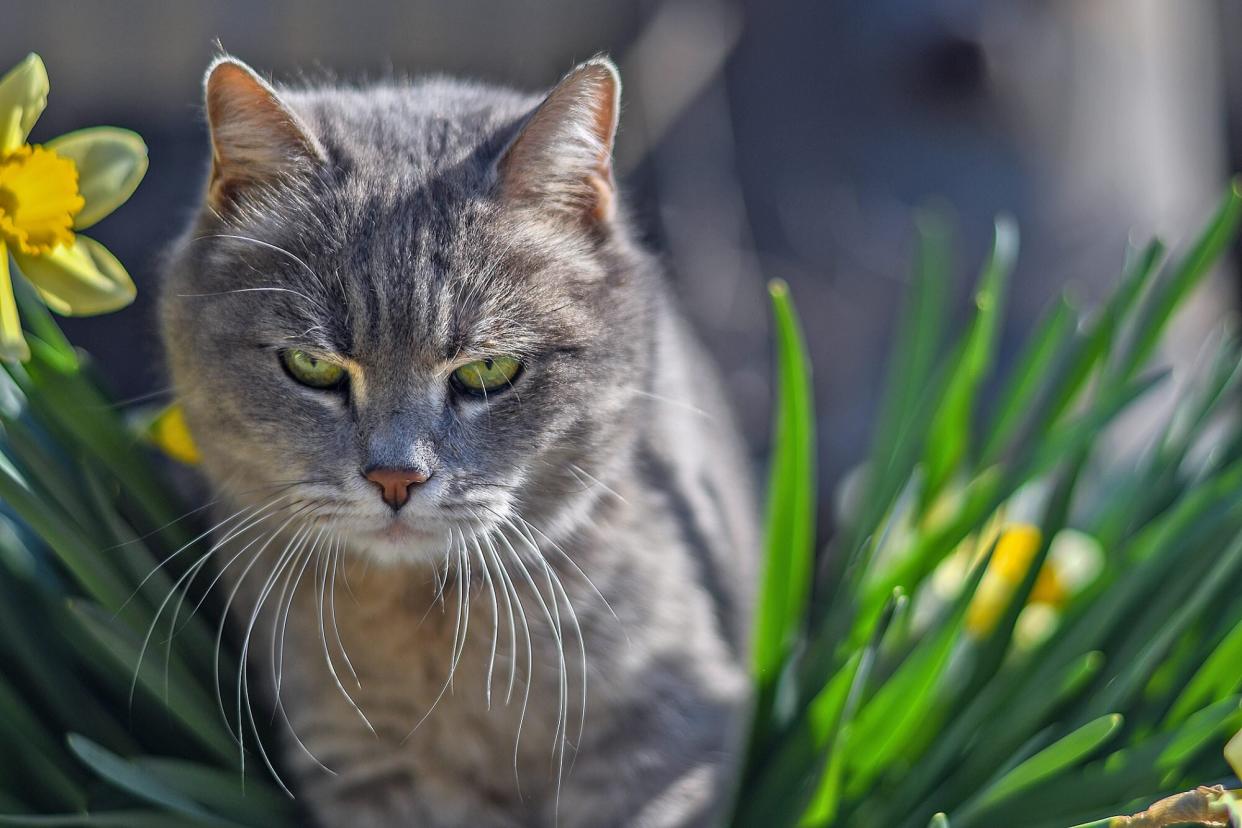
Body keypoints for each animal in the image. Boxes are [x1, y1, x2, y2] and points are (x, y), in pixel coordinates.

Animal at [155, 54, 755, 824]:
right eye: (312, 366)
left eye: (488, 371)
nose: (395, 477)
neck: (431, 623)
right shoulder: (356, 762)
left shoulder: (669, 733)